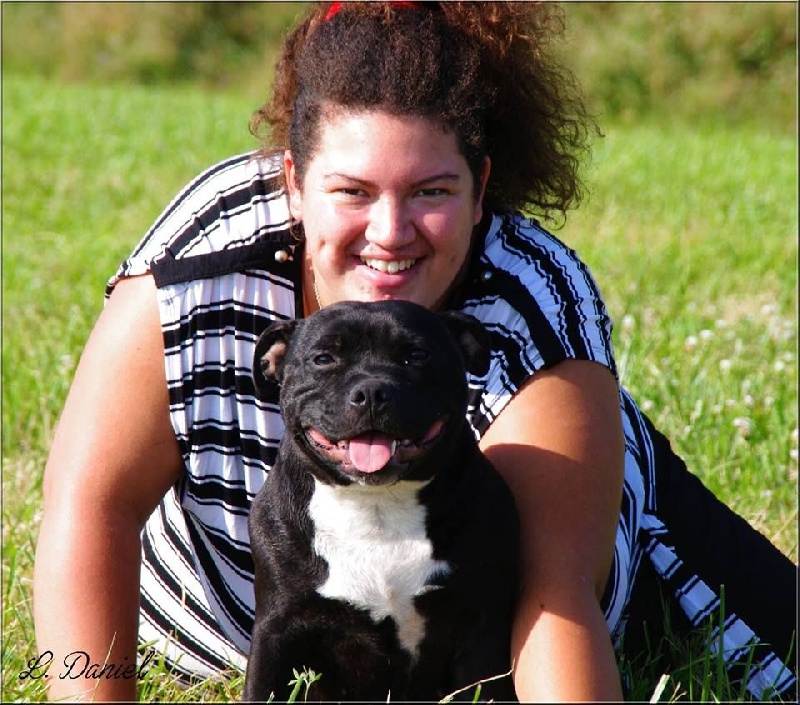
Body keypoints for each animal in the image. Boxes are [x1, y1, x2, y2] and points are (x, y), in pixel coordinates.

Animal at [243, 300, 519, 702]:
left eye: (417, 356)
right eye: (323, 358)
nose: (372, 391)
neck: (375, 505)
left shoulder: (479, 627)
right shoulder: (277, 628)